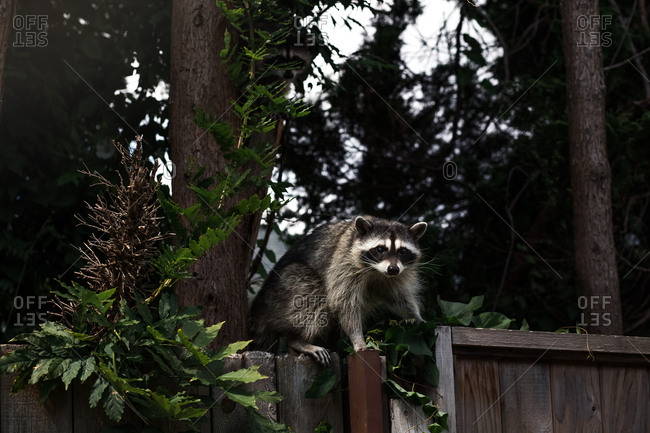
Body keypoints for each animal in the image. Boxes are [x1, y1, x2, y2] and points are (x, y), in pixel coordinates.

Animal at [249, 216, 427, 366]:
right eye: (380, 249)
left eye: (402, 251)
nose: (393, 269)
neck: (376, 271)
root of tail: (262, 303)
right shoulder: (343, 262)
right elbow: (344, 303)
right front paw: (357, 339)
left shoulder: (395, 276)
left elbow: (399, 298)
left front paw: (416, 317)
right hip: (285, 288)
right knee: (310, 291)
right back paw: (299, 340)